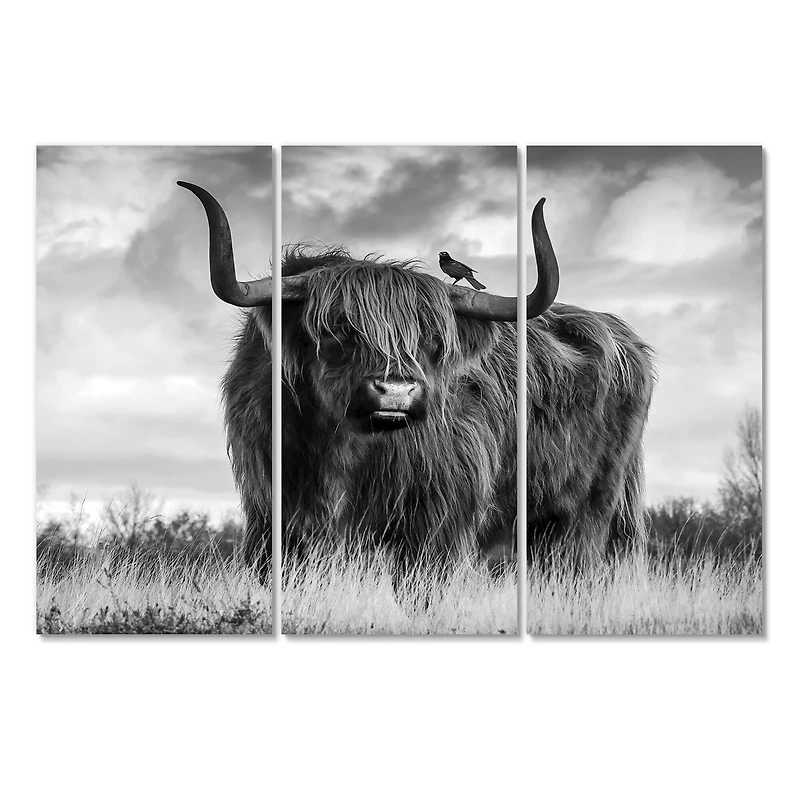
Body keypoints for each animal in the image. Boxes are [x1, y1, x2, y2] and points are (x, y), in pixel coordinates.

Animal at [178, 181, 655, 579]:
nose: (396, 392)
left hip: (586, 516)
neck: (341, 451)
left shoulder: (437, 523)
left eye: (432, 340)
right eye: (337, 330)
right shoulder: (271, 515)